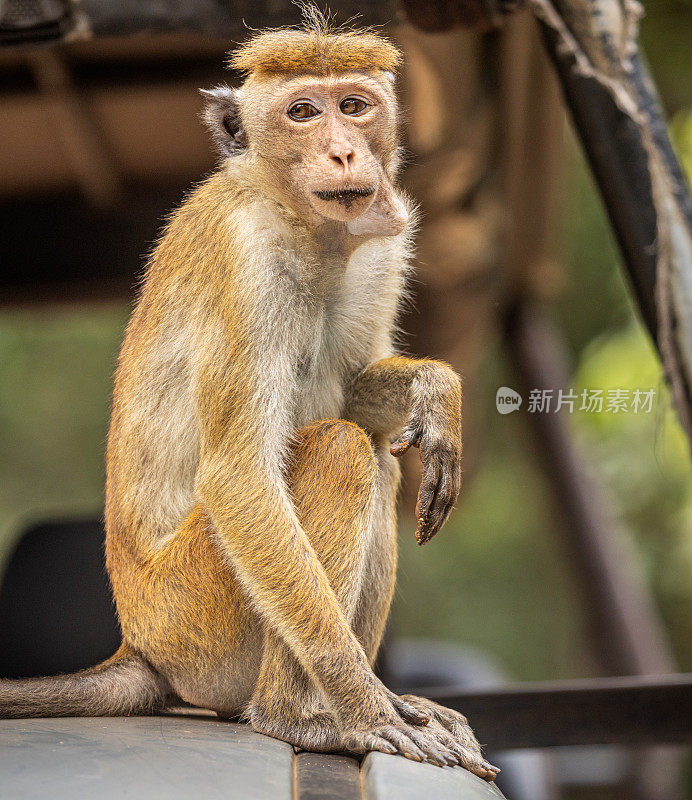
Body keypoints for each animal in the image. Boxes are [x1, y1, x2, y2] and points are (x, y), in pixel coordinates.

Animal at [0, 7, 498, 780]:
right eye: (303, 113)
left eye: (354, 106)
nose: (345, 154)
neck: (302, 224)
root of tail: (140, 647)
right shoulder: (247, 262)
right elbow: (240, 474)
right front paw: (362, 704)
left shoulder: (385, 243)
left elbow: (356, 390)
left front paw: (436, 392)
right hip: (198, 620)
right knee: (340, 451)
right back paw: (300, 714)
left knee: (374, 459)